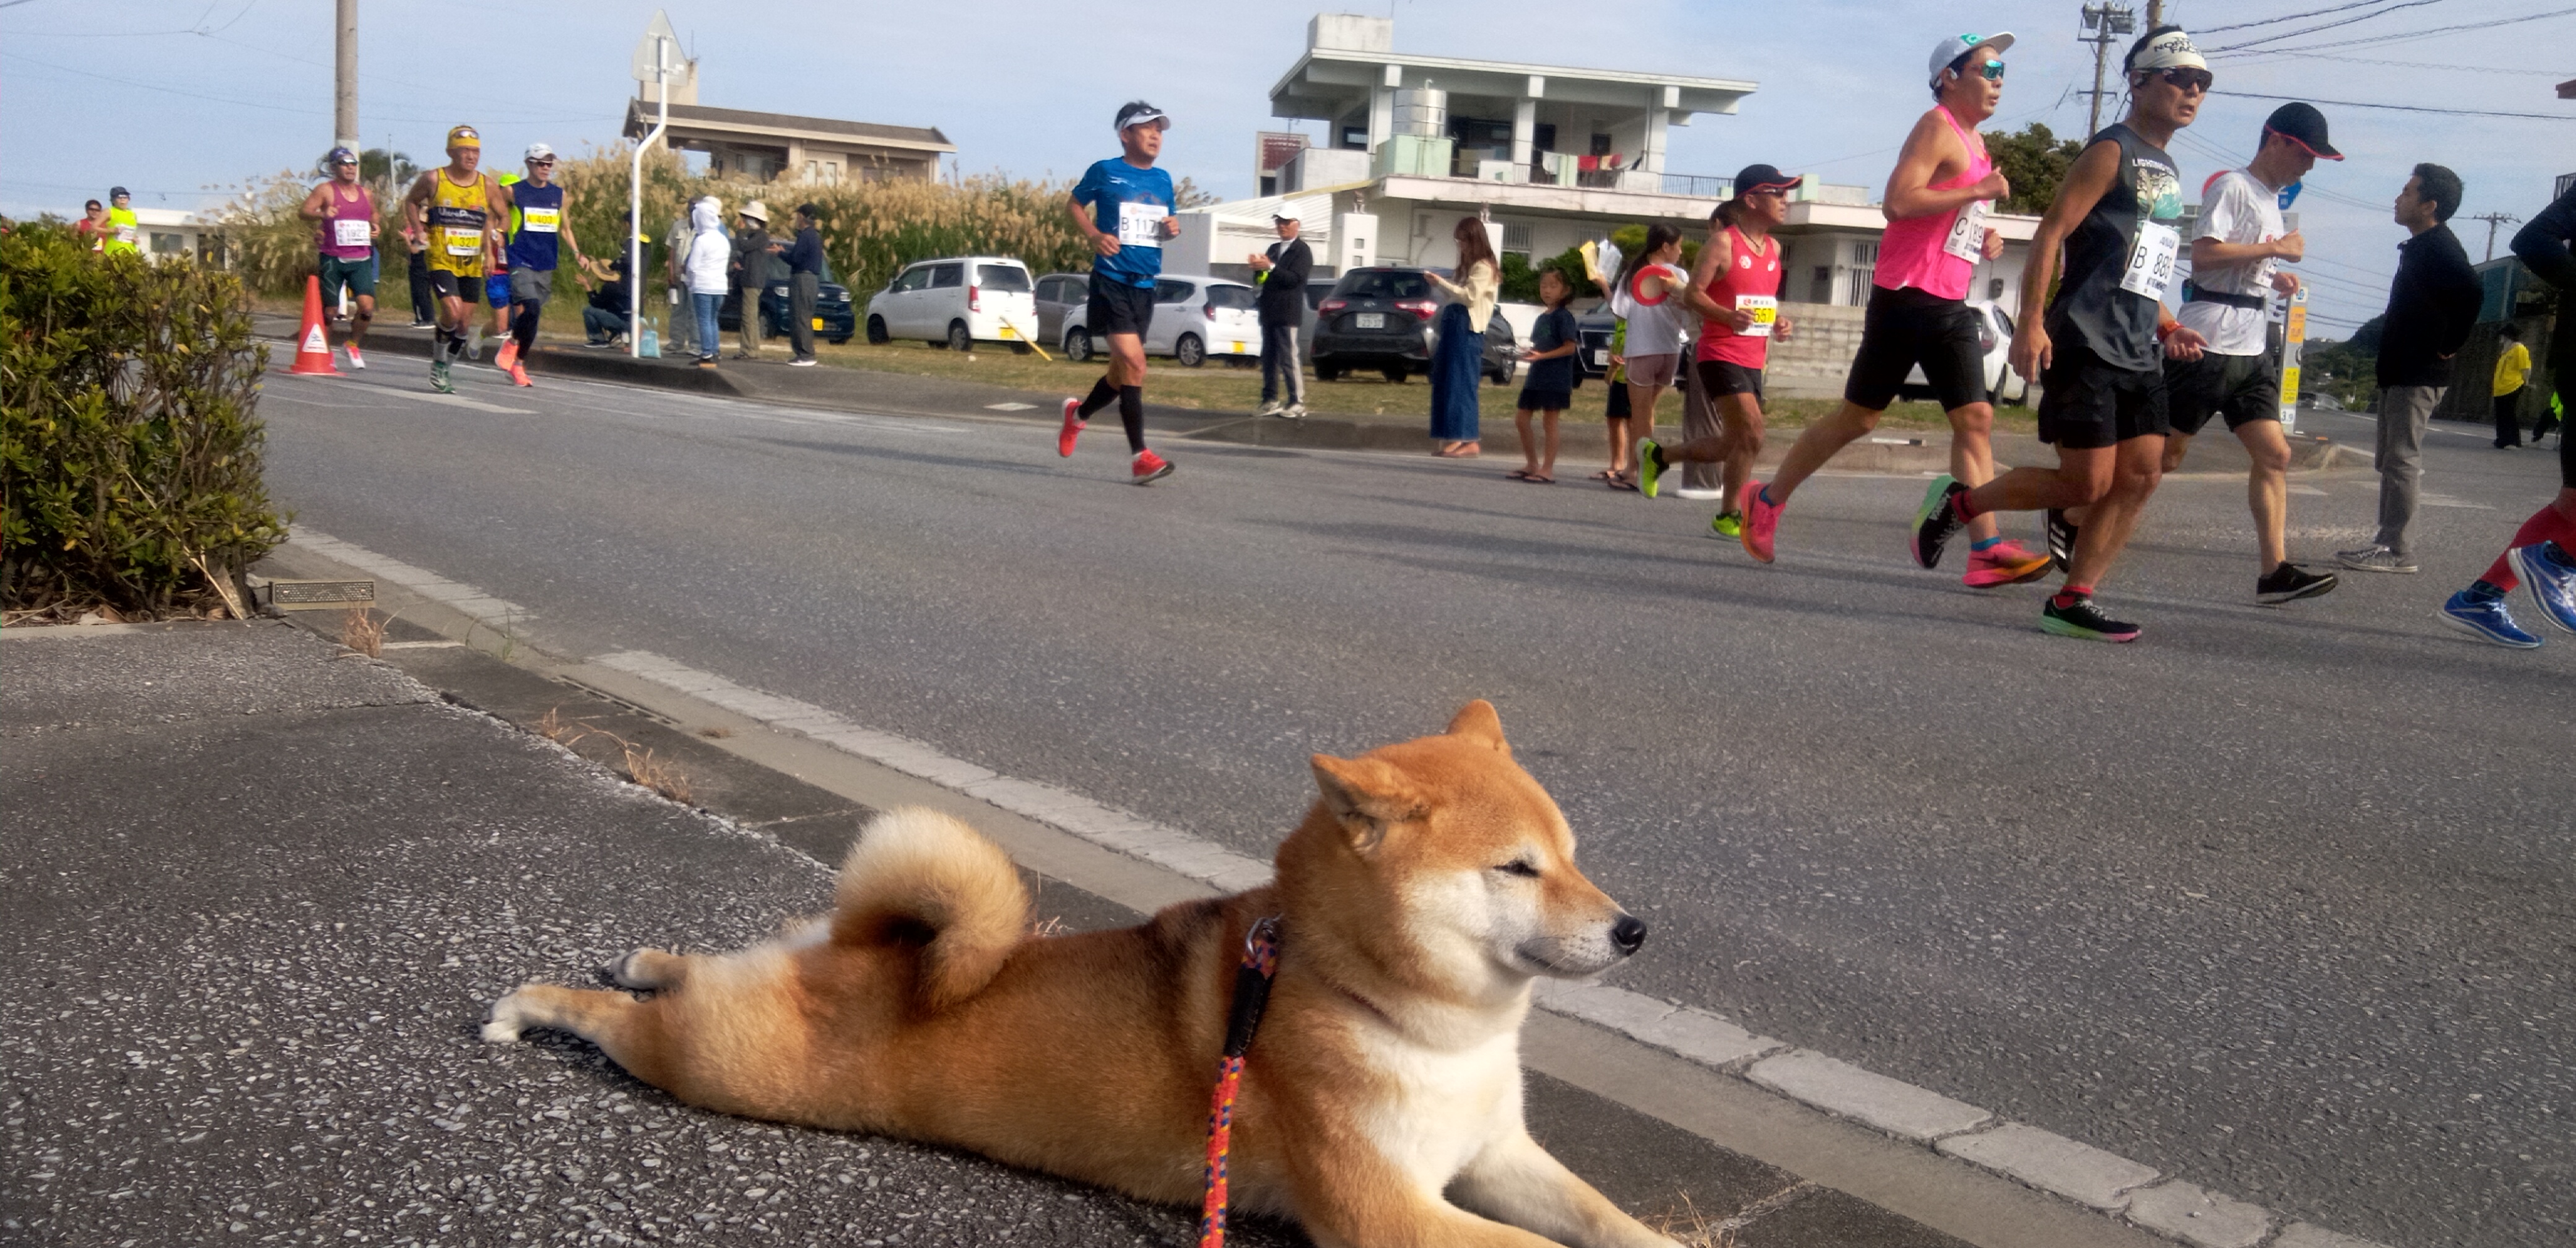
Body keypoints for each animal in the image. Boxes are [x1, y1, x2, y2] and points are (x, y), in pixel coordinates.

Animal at [489, 704, 1679, 1240]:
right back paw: (526, 1004)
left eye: (1573, 853)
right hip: (721, 1067)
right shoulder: (1391, 1210)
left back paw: (649, 954)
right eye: (1517, 868)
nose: (1634, 931)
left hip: (758, 988)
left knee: (694, 965)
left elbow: (1609, 1224)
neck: (1425, 1027)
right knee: (615, 1020)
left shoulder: (1498, 1154)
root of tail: (867, 954)